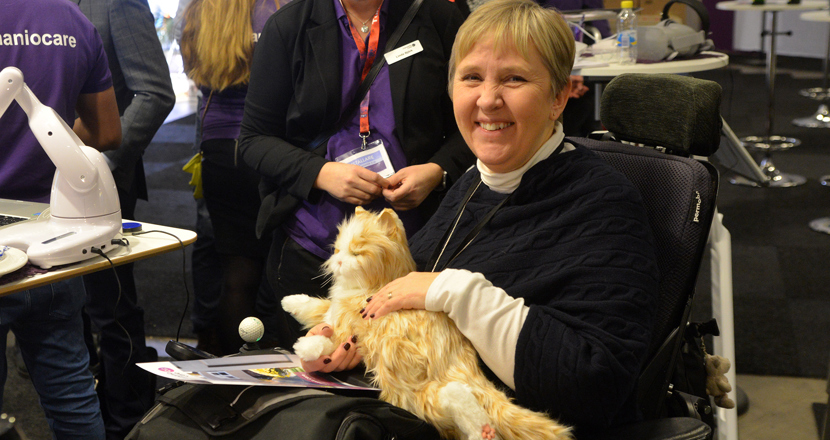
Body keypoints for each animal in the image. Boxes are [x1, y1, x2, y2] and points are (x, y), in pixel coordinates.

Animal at [281, 206, 572, 440]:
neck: (372, 287)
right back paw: (482, 429)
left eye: (357, 251)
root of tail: (466, 370)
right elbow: (315, 308)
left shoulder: (353, 324)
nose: (338, 260)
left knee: (455, 398)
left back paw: (479, 426)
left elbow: (328, 340)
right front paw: (289, 301)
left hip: (405, 386)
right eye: (337, 249)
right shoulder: (335, 312)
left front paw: (304, 347)